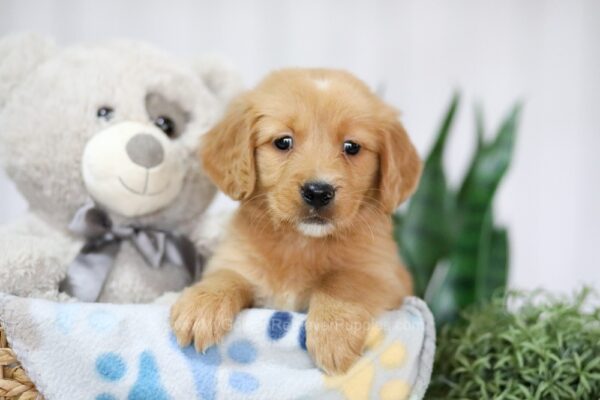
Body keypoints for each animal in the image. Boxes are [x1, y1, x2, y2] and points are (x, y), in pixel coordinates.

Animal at [171, 69, 420, 376]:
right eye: (283, 142)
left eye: (352, 147)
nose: (318, 192)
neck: (300, 242)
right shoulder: (238, 261)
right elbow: (226, 276)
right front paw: (201, 306)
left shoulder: (386, 275)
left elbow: (344, 281)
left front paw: (333, 334)